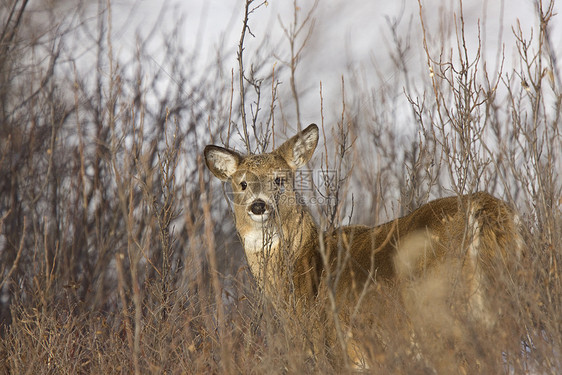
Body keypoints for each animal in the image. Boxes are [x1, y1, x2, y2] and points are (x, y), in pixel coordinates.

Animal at [203, 124, 524, 370]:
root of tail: (484, 208)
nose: (259, 206)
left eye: (279, 180)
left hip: (443, 317)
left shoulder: (338, 352)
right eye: (242, 184)